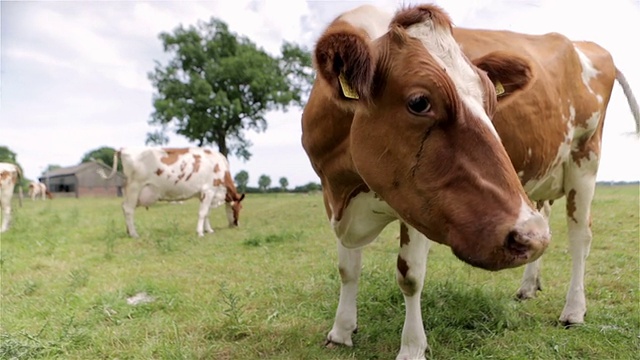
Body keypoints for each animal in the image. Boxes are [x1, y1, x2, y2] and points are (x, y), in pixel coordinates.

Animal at [302, 3, 636, 360]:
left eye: (491, 101)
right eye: (419, 102)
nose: (527, 235)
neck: (346, 189)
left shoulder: (419, 205)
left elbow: (410, 275)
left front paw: (412, 347)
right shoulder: (334, 194)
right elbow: (347, 268)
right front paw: (341, 331)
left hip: (585, 159)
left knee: (580, 236)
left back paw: (573, 310)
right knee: (547, 218)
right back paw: (528, 286)